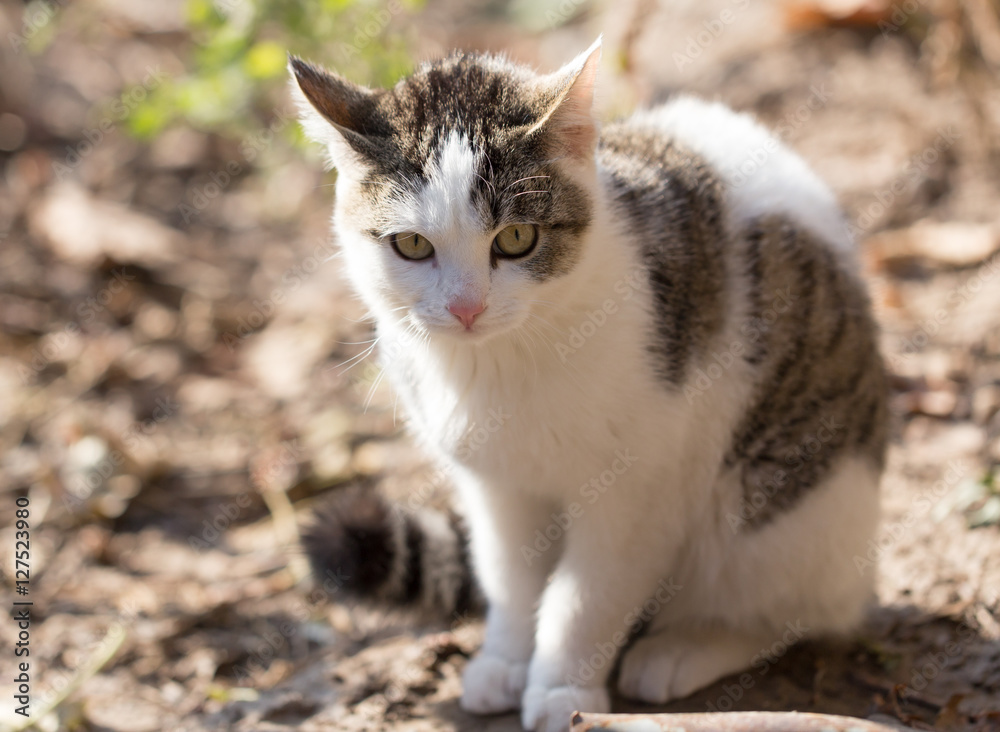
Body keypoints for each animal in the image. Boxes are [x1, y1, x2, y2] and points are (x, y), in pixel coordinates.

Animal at [292, 38, 892, 732]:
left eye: (516, 239)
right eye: (412, 245)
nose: (467, 308)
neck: (500, 364)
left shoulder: (638, 490)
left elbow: (586, 597)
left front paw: (563, 690)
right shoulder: (495, 487)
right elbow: (510, 576)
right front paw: (506, 658)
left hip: (782, 507)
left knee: (792, 610)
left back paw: (688, 647)